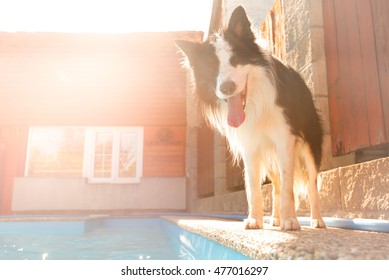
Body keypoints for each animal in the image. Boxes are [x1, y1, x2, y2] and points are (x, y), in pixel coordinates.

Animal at [176, 6, 324, 231]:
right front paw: (255, 220)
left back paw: (317, 220)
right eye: (211, 69)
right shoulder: (250, 145)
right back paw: (275, 218)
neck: (255, 102)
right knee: (276, 184)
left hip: (309, 143)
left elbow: (289, 184)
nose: (227, 88)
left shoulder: (285, 139)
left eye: (235, 61)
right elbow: (253, 185)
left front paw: (290, 220)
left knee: (312, 183)